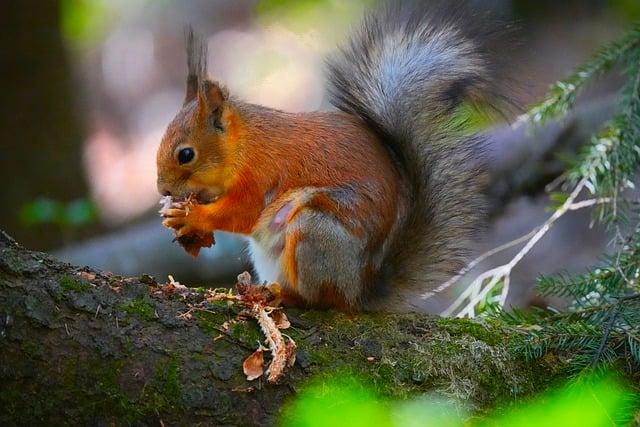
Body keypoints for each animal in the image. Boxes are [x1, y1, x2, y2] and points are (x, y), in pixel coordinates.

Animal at [156, 2, 504, 310]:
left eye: (186, 154)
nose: (163, 190)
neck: (243, 146)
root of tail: (358, 292)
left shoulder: (262, 174)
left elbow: (243, 213)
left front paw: (193, 216)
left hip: (314, 233)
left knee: (320, 299)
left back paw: (288, 296)